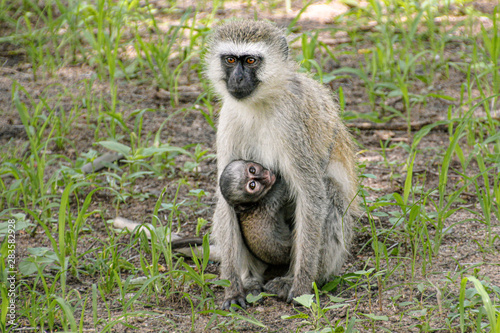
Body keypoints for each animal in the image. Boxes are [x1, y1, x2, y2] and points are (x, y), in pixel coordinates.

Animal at [204, 18, 360, 308]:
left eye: (251, 60)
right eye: (230, 60)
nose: (237, 78)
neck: (258, 103)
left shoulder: (291, 121)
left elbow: (311, 193)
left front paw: (300, 285)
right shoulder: (229, 117)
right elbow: (224, 196)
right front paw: (232, 289)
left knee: (330, 193)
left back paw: (299, 278)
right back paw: (250, 280)